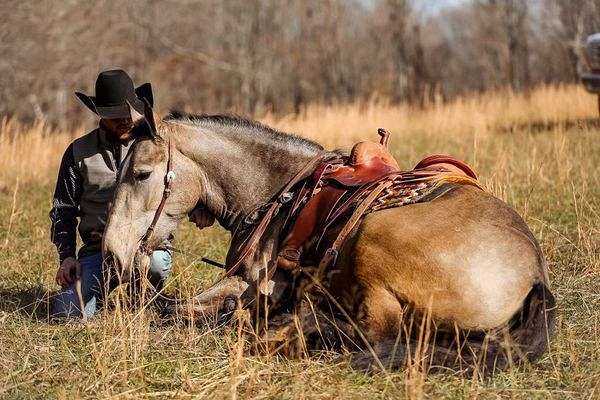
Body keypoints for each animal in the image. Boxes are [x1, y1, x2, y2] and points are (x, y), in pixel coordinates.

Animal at [101, 108, 556, 372]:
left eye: (140, 173)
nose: (111, 255)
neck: (278, 191)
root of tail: (534, 276)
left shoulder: (252, 284)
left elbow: (174, 311)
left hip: (375, 245)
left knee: (375, 335)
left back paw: (296, 328)